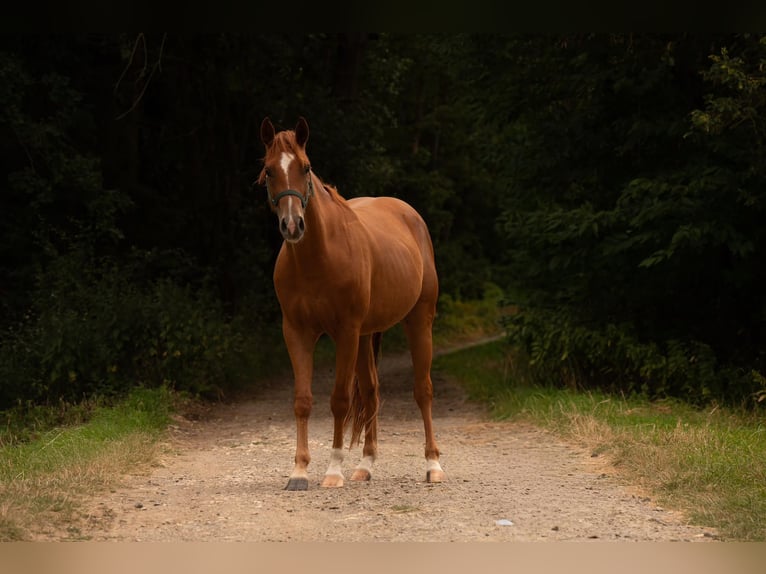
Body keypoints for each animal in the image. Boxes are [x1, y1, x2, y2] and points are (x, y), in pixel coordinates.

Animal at [257, 116, 445, 490]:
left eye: (306, 167)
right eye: (269, 171)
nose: (292, 225)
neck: (319, 258)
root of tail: (409, 214)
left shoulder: (344, 332)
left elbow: (340, 400)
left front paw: (332, 470)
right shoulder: (296, 333)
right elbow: (303, 401)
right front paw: (299, 471)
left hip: (418, 321)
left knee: (423, 390)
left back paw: (433, 465)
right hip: (365, 336)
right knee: (372, 392)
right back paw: (366, 464)